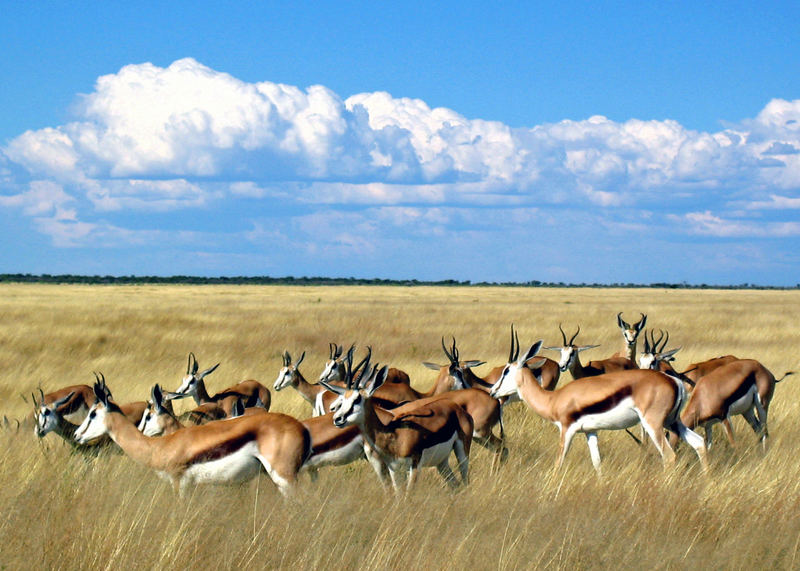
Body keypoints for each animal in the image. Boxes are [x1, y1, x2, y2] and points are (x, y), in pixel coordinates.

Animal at [75, 376, 310, 496]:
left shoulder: (179, 483)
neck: (160, 445)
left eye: (93, 413)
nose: (77, 435)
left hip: (285, 479)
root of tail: (302, 428)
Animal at [318, 348, 472, 492]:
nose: (337, 418)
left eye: (357, 399)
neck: (393, 434)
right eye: (344, 398)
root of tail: (455, 407)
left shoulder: (414, 466)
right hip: (441, 462)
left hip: (461, 453)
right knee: (456, 484)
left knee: (465, 482)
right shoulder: (394, 469)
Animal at [488, 330, 708, 474]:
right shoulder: (590, 431)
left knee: (669, 457)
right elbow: (597, 463)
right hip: (673, 422)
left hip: (653, 425)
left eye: (506, 370)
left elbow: (559, 463)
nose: (492, 391)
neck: (554, 399)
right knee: (699, 443)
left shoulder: (566, 430)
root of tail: (673, 381)